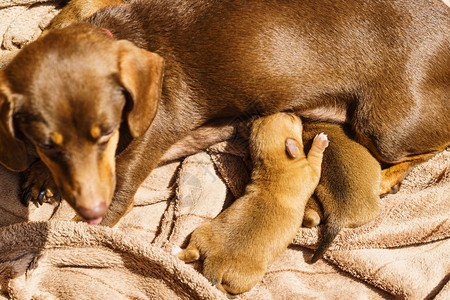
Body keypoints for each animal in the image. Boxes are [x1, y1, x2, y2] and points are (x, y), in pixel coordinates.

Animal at [0, 0, 448, 225]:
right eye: (47, 145)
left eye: (106, 133)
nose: (90, 207)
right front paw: (41, 175)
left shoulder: (134, 158)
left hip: (384, 128)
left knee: (432, 146)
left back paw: (386, 179)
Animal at [174, 113, 328, 296]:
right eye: (290, 117)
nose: (297, 114)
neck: (274, 165)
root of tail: (215, 262)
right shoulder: (311, 172)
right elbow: (315, 158)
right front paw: (320, 142)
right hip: (249, 279)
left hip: (200, 231)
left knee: (192, 253)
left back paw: (175, 251)